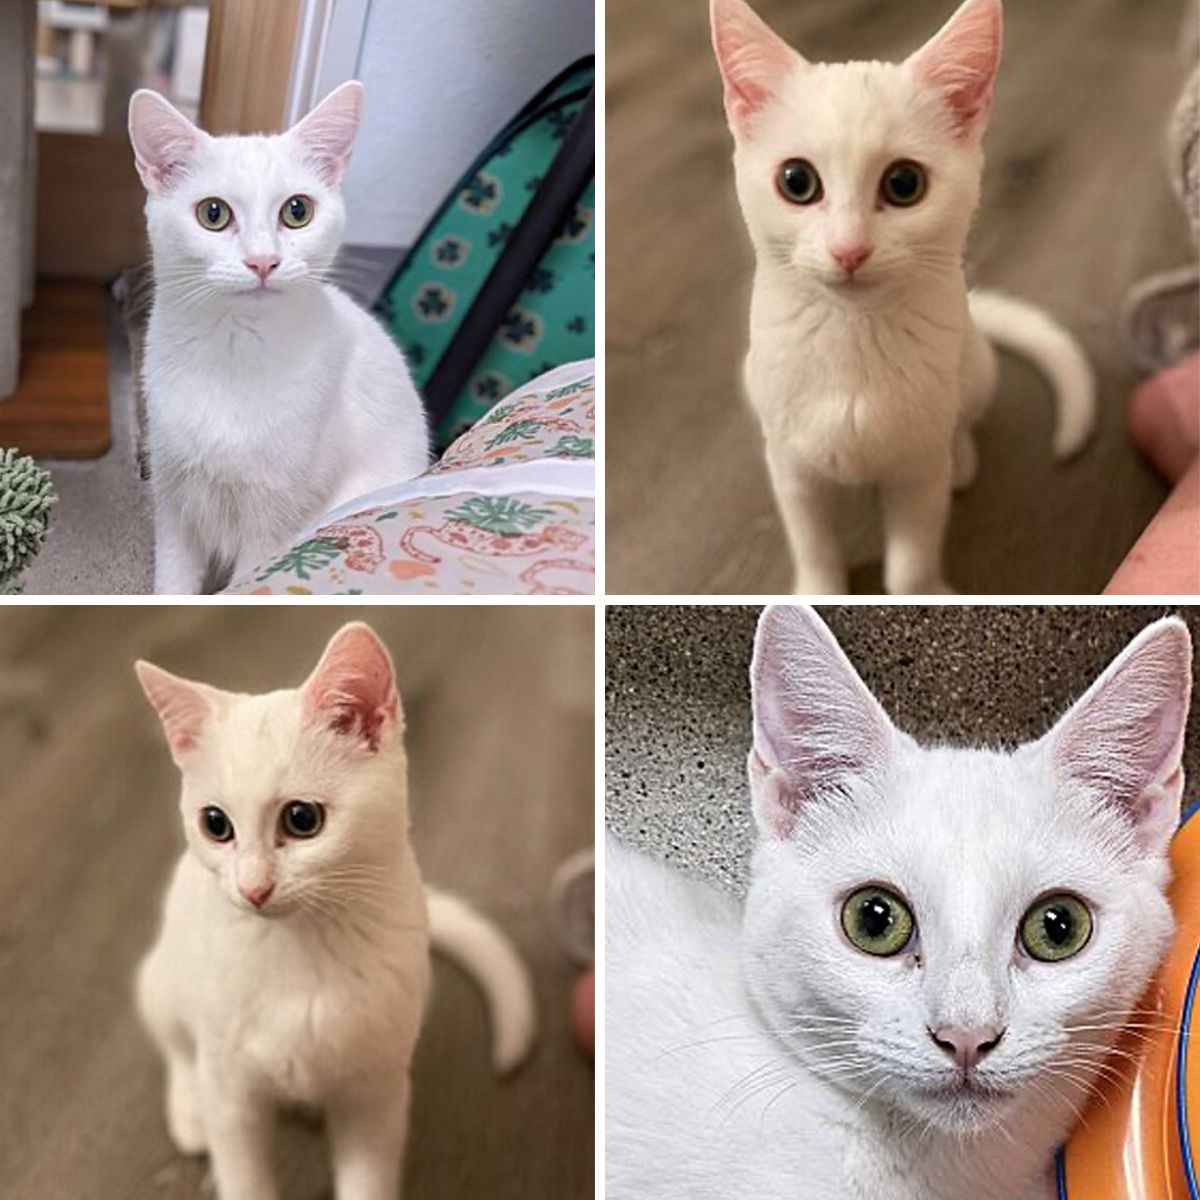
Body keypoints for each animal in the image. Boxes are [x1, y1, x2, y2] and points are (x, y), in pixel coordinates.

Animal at [125, 81, 427, 595]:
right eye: (212, 213)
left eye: (297, 210)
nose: (263, 260)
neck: (233, 352)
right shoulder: (172, 500)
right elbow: (173, 581)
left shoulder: (275, 522)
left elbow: (249, 582)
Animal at [132, 624, 540, 1200]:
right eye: (215, 823)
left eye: (302, 818)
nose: (253, 888)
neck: (305, 948)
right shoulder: (234, 1096)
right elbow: (242, 1170)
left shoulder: (376, 1094)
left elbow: (367, 1178)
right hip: (164, 982)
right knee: (178, 1048)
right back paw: (190, 1110)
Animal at [710, 0, 1099, 597]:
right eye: (796, 181)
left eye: (904, 183)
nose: (849, 249)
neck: (852, 336)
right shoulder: (794, 472)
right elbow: (814, 545)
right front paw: (818, 591)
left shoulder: (916, 475)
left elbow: (911, 559)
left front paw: (925, 590)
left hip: (975, 368)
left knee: (960, 421)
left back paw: (961, 458)